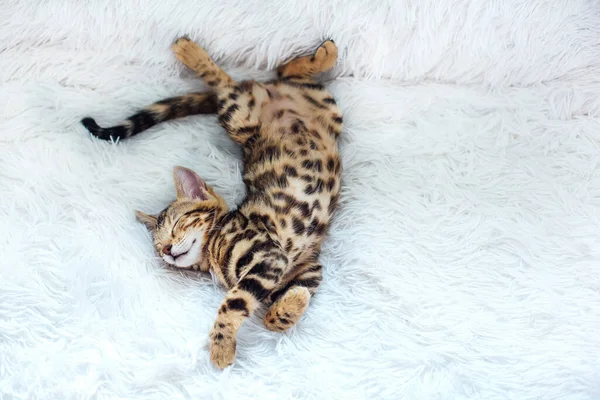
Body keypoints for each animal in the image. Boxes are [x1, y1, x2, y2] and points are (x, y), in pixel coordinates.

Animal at [80, 37, 342, 368]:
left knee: (230, 83)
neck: (214, 248)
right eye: (157, 244)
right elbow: (285, 297)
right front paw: (285, 310)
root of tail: (269, 92)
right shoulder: (300, 266)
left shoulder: (272, 257)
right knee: (283, 73)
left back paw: (189, 51)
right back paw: (318, 57)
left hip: (242, 115)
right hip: (324, 105)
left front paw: (222, 344)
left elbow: (235, 302)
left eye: (177, 225)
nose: (167, 250)